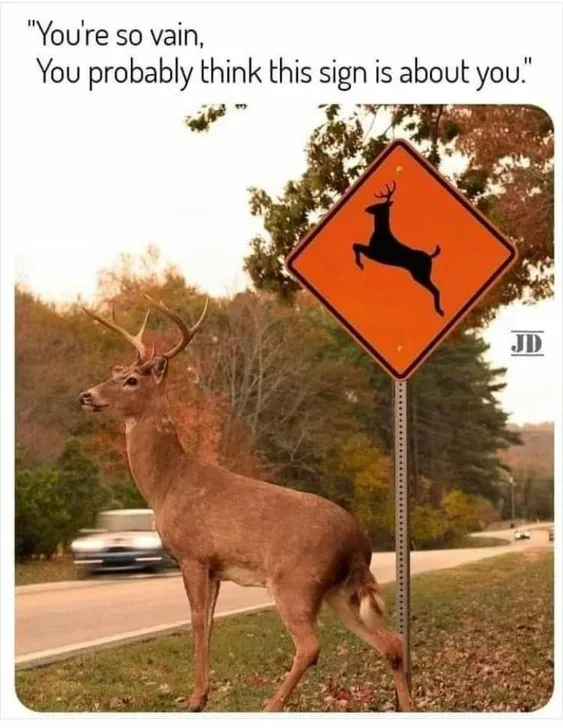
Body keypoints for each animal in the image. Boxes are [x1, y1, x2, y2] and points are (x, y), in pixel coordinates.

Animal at [79, 296, 413, 713]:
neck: (166, 485)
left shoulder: (193, 554)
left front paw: (195, 699)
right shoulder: (216, 567)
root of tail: (360, 544)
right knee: (391, 642)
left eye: (132, 380)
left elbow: (197, 620)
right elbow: (209, 621)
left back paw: (270, 706)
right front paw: (202, 694)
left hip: (296, 580)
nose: (87, 395)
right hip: (339, 590)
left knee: (311, 646)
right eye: (119, 372)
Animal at [352, 181, 444, 316]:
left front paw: (360, 264)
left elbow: (355, 245)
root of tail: (430, 256)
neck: (381, 233)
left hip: (421, 274)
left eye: (379, 205)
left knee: (435, 290)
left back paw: (439, 311)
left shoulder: (375, 253)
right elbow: (355, 245)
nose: (366, 208)